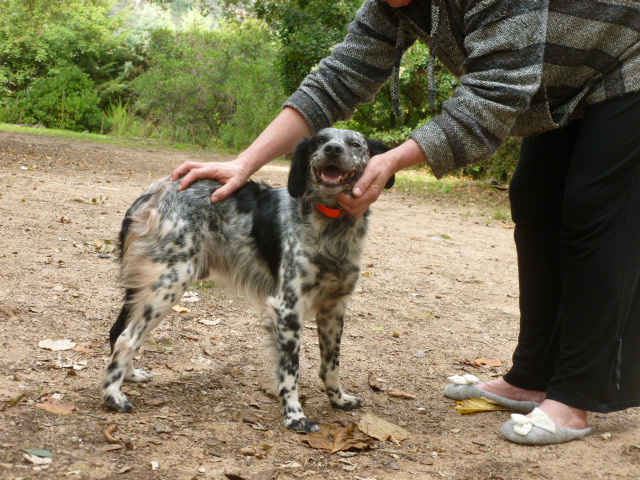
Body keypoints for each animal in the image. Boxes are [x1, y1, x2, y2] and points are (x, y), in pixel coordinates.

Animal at [102, 126, 392, 432]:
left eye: (355, 144)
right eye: (320, 141)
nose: (333, 150)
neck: (331, 226)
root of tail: (153, 192)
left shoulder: (334, 308)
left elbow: (331, 364)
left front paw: (338, 399)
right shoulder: (288, 309)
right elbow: (291, 371)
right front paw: (295, 416)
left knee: (120, 331)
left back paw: (130, 376)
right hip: (172, 282)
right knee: (126, 338)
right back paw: (114, 396)